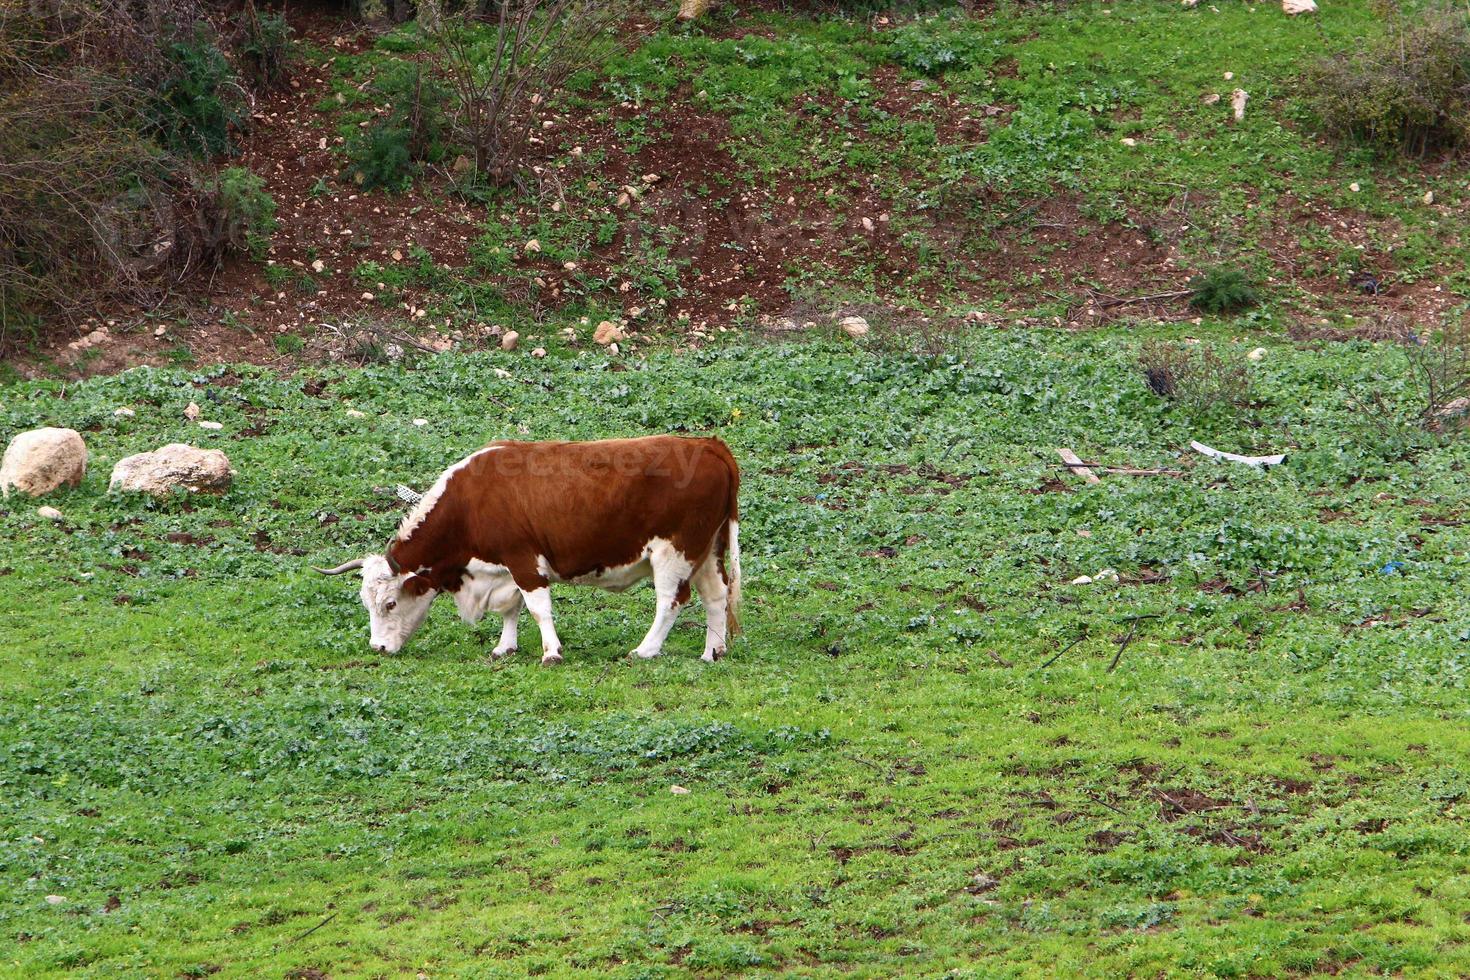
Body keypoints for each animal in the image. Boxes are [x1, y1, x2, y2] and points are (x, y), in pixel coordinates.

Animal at [314, 437, 740, 667]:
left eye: (389, 603)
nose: (378, 647)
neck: (469, 502)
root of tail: (706, 444)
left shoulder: (523, 560)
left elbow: (537, 608)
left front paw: (551, 652)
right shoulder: (503, 568)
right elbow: (511, 608)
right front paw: (505, 646)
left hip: (675, 552)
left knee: (672, 600)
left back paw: (646, 650)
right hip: (706, 551)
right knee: (716, 596)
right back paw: (712, 651)